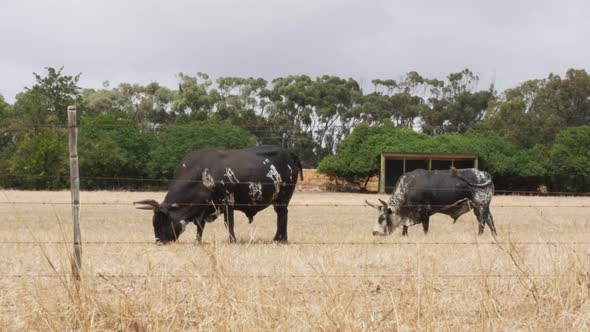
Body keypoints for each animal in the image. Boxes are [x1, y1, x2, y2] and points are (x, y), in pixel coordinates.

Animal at [136, 145, 302, 244]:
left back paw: (279, 239)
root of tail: (289, 153)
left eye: (159, 222)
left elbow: (229, 223)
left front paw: (232, 240)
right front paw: (197, 241)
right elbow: (200, 226)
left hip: (283, 197)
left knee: (282, 216)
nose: (159, 242)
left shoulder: (227, 201)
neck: (200, 173)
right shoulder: (204, 207)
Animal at [368, 169, 498, 236]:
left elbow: (425, 228)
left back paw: (480, 236)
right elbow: (405, 227)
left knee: (482, 221)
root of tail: (485, 174)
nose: (374, 233)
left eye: (382, 218)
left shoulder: (425, 210)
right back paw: (494, 236)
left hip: (480, 206)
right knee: (490, 221)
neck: (408, 186)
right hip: (483, 207)